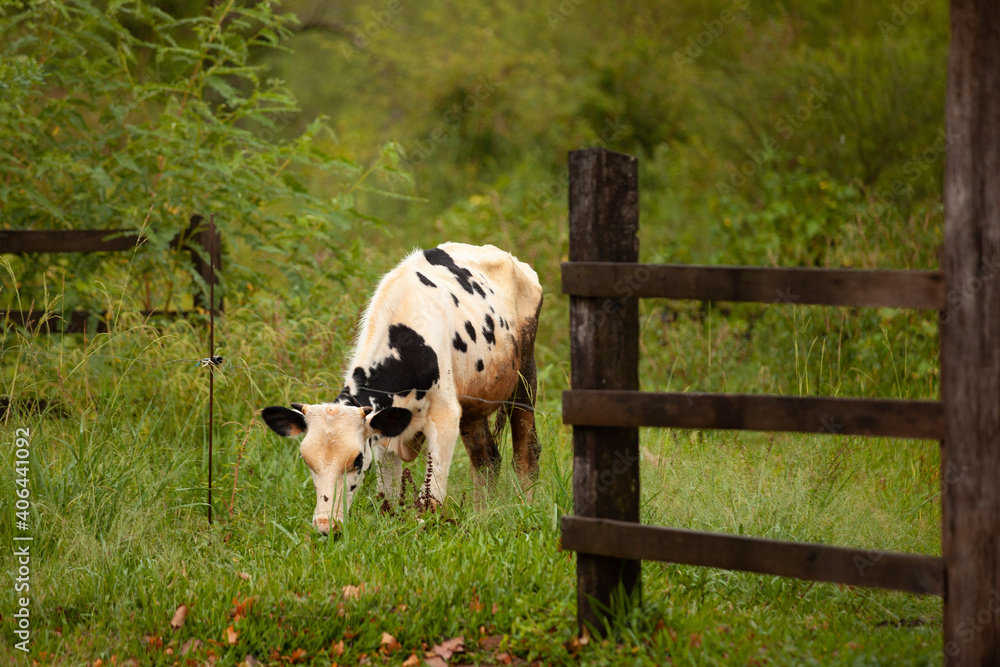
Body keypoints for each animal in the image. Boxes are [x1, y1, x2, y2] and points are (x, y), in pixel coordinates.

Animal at [262, 243, 543, 533]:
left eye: (357, 460)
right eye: (306, 460)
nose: (327, 526)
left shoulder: (445, 417)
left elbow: (430, 500)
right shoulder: (385, 433)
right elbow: (388, 498)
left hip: (524, 375)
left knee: (526, 453)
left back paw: (526, 511)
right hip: (474, 402)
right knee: (486, 460)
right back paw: (481, 516)